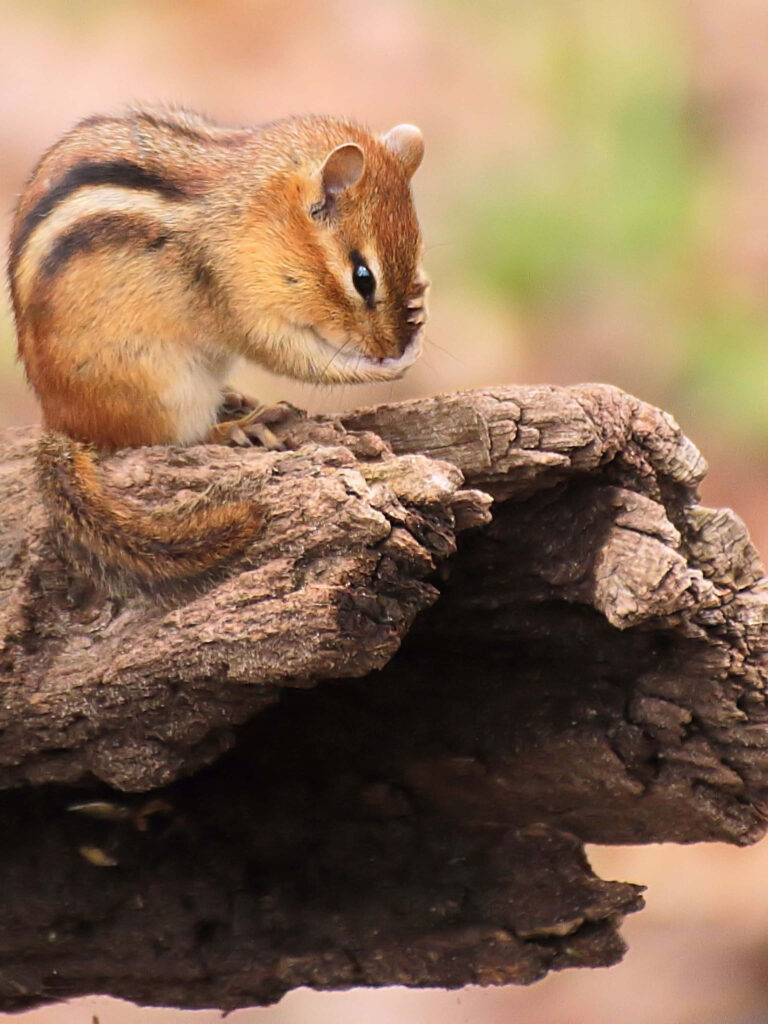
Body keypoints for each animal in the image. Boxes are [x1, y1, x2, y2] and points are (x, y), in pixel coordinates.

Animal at [8, 106, 428, 594]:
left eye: (417, 253)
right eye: (363, 277)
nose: (388, 347)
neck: (258, 212)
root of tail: (63, 423)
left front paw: (420, 303)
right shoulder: (236, 291)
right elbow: (286, 354)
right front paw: (384, 367)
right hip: (163, 386)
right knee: (170, 438)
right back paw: (237, 428)